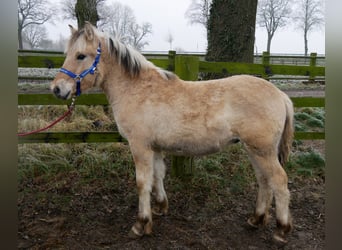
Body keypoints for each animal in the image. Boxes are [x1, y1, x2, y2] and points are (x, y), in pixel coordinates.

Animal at [50, 23, 294, 244]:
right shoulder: (155, 147)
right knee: (264, 181)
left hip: (262, 150)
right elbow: (158, 176)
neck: (138, 89)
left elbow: (142, 182)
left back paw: (281, 230)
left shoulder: (140, 146)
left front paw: (141, 224)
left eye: (81, 55)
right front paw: (160, 206)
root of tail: (281, 95)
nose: (57, 89)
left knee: (279, 181)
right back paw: (256, 219)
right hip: (254, 149)